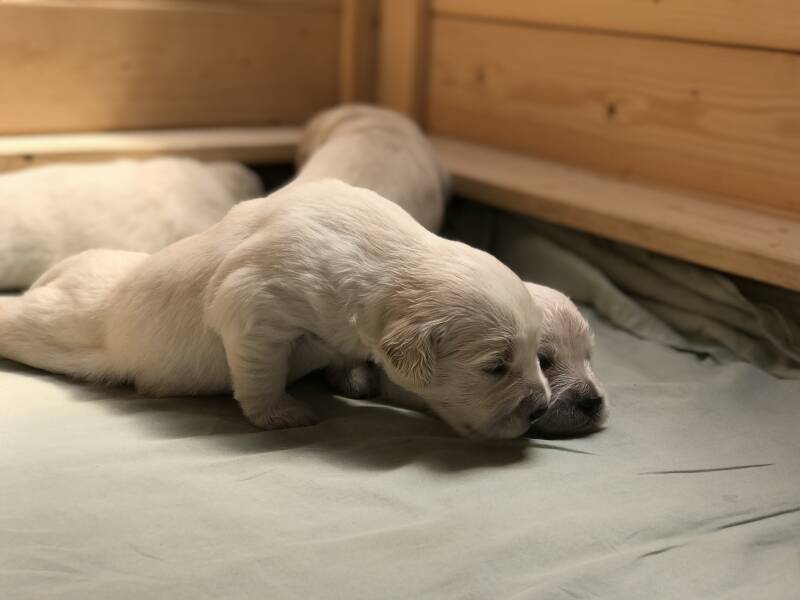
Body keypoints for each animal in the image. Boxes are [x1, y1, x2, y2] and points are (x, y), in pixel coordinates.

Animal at [0, 180, 551, 440]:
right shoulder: (256, 305)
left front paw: (351, 379)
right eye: (494, 367)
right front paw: (282, 413)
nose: (542, 408)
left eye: (538, 355)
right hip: (64, 324)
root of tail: (64, 269)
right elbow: (260, 369)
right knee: (23, 318)